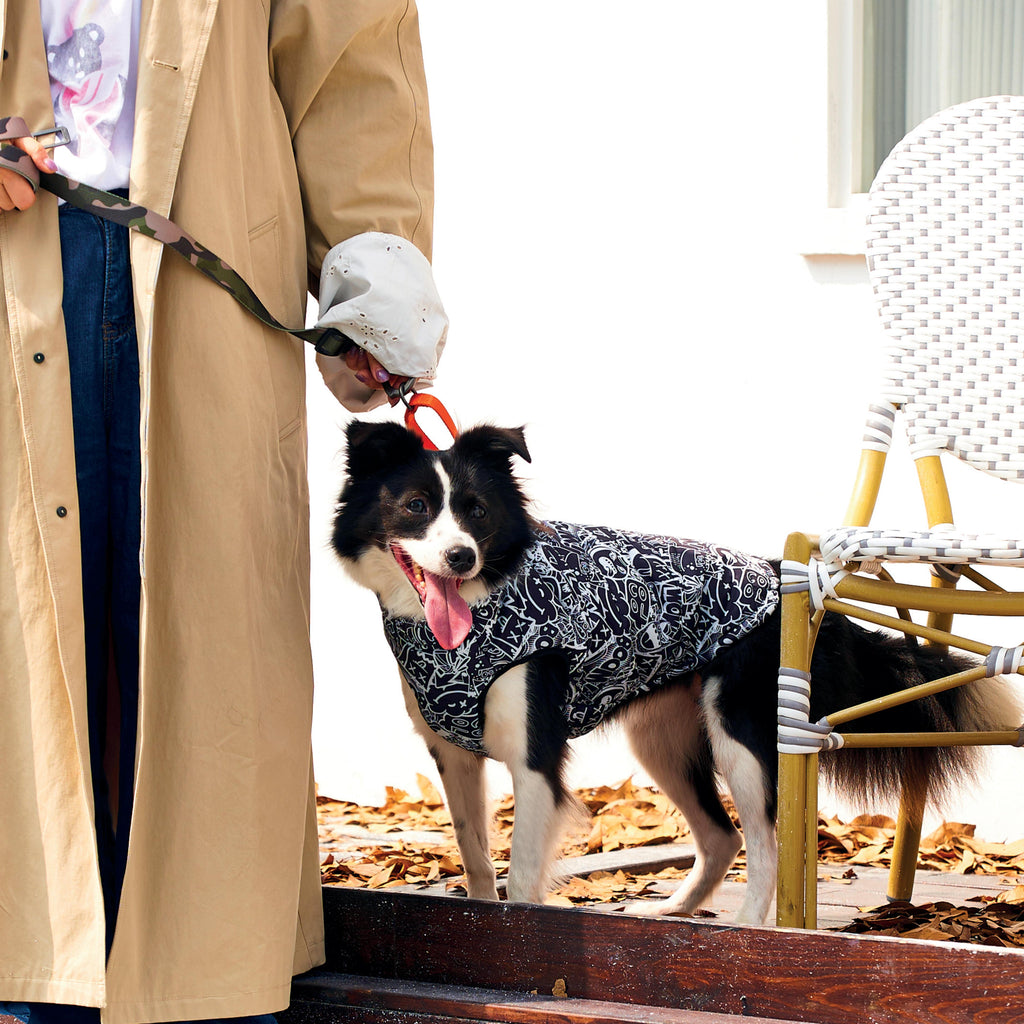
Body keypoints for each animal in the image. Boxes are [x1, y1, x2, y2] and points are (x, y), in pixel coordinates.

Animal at [331, 419, 1019, 925]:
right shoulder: (454, 754)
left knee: (764, 841)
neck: (481, 606)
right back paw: (673, 911)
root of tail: (782, 572)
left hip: (740, 733)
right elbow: (474, 854)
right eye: (416, 506)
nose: (459, 557)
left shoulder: (535, 755)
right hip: (660, 735)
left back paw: (747, 928)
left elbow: (522, 870)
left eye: (476, 512)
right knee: (720, 837)